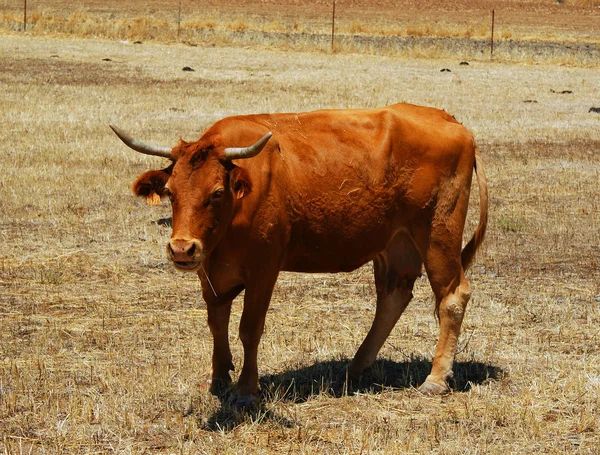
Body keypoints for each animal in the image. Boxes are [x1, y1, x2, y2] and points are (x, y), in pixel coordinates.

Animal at [111, 102, 488, 406]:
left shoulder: (263, 269)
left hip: (438, 234)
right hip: (396, 244)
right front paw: (218, 378)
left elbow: (250, 328)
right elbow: (217, 323)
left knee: (452, 297)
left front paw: (246, 389)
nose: (181, 248)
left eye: (216, 193)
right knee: (393, 298)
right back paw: (356, 366)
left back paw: (435, 378)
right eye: (170, 191)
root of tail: (453, 123)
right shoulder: (211, 272)